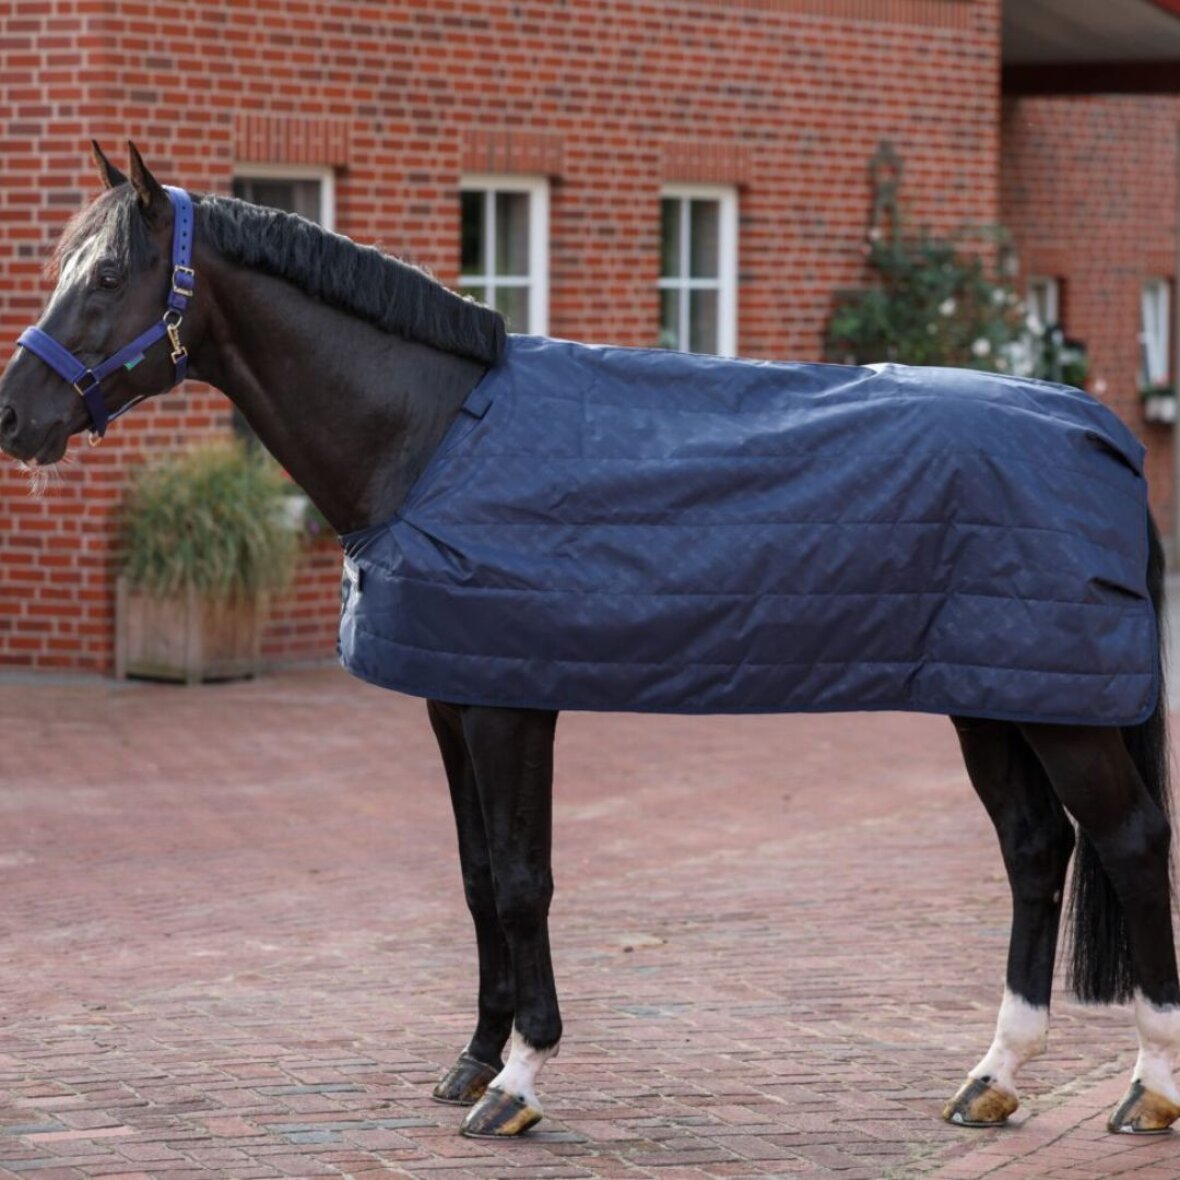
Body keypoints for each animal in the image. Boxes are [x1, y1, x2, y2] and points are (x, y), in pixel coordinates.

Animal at [0, 142, 1176, 1140]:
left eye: (108, 277)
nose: (15, 415)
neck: (431, 437)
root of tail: (1102, 431)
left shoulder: (512, 701)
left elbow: (525, 878)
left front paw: (518, 1081)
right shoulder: (451, 697)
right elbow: (478, 875)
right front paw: (473, 1058)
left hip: (1057, 712)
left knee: (1127, 841)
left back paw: (1147, 1085)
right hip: (998, 693)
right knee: (1036, 848)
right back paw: (994, 1074)